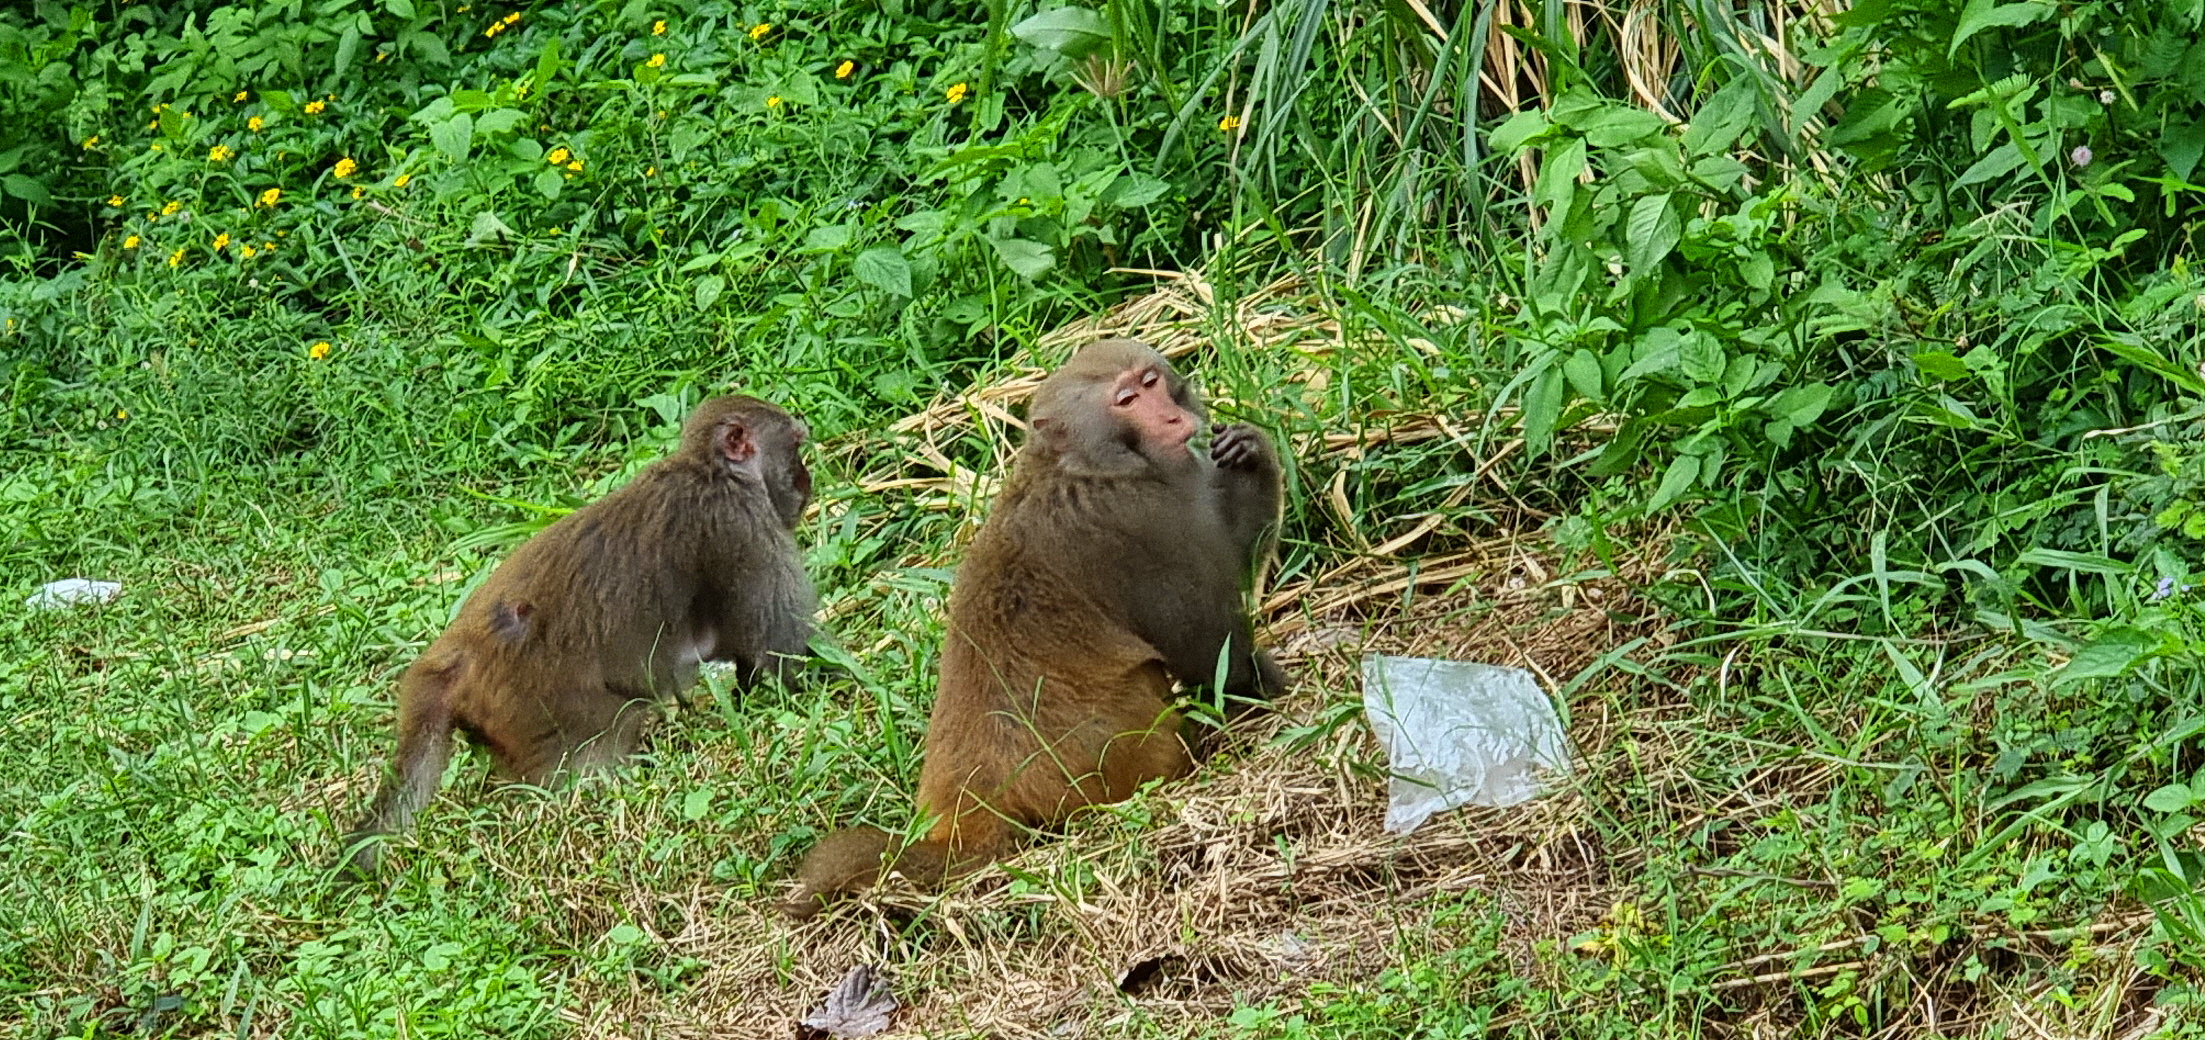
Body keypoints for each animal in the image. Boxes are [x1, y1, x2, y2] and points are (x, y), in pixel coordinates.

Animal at [339, 394, 824, 881]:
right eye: (795, 448)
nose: (807, 482)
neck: (712, 471)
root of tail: (456, 655)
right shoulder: (743, 527)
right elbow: (778, 648)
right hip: (542, 705)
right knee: (606, 740)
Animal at [793, 337, 1287, 912]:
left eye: (1150, 382)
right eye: (1125, 401)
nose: (1173, 416)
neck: (1081, 467)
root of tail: (971, 809)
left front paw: (1248, 451)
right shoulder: (1142, 522)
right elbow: (1205, 646)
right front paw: (1264, 689)